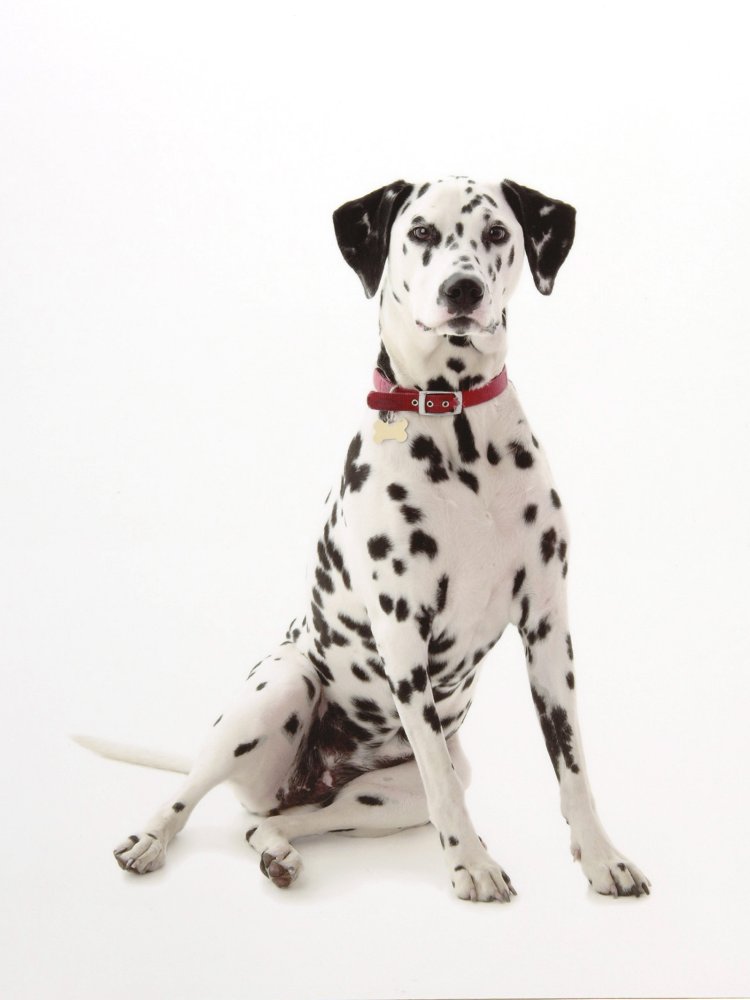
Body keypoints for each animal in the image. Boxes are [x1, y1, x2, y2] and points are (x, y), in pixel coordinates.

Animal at [85, 176, 652, 904]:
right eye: (421, 232)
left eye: (498, 233)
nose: (462, 290)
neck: (458, 430)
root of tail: (304, 781)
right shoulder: (404, 634)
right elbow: (444, 786)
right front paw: (472, 864)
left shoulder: (550, 633)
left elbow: (573, 765)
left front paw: (602, 857)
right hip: (278, 689)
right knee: (191, 790)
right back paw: (150, 838)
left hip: (376, 800)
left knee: (273, 823)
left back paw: (278, 852)